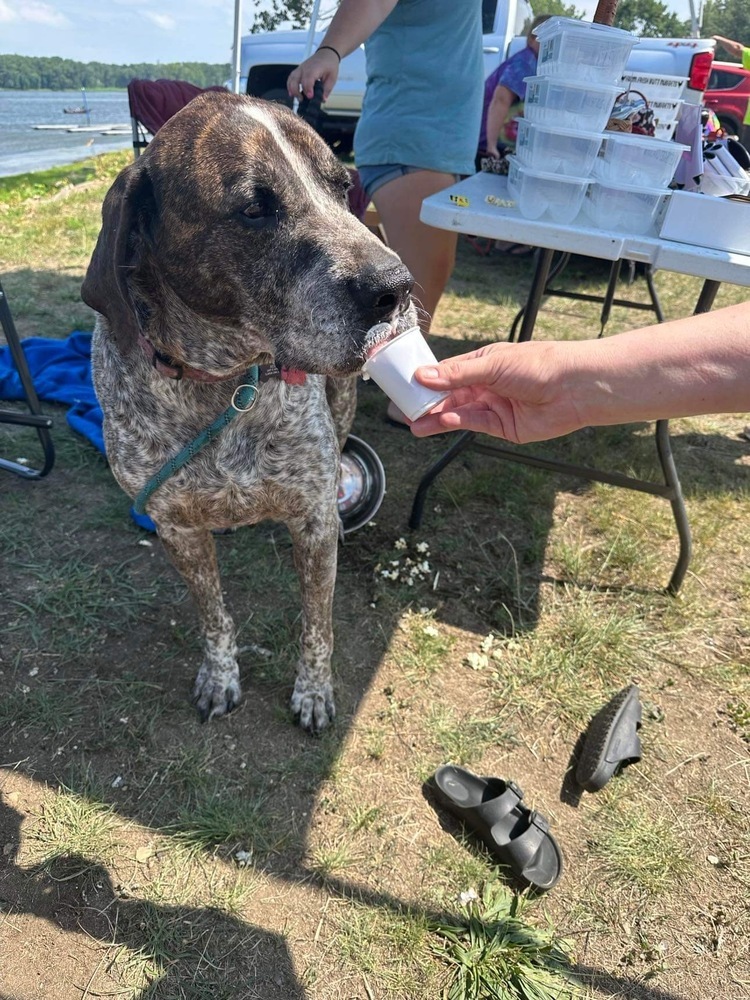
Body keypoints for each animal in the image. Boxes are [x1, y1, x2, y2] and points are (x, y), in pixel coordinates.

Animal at [85, 92, 420, 736]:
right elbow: (214, 618)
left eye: (341, 187)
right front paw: (220, 677)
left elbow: (318, 626)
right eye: (254, 210)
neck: (225, 385)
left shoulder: (313, 523)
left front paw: (313, 691)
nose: (397, 285)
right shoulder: (178, 529)